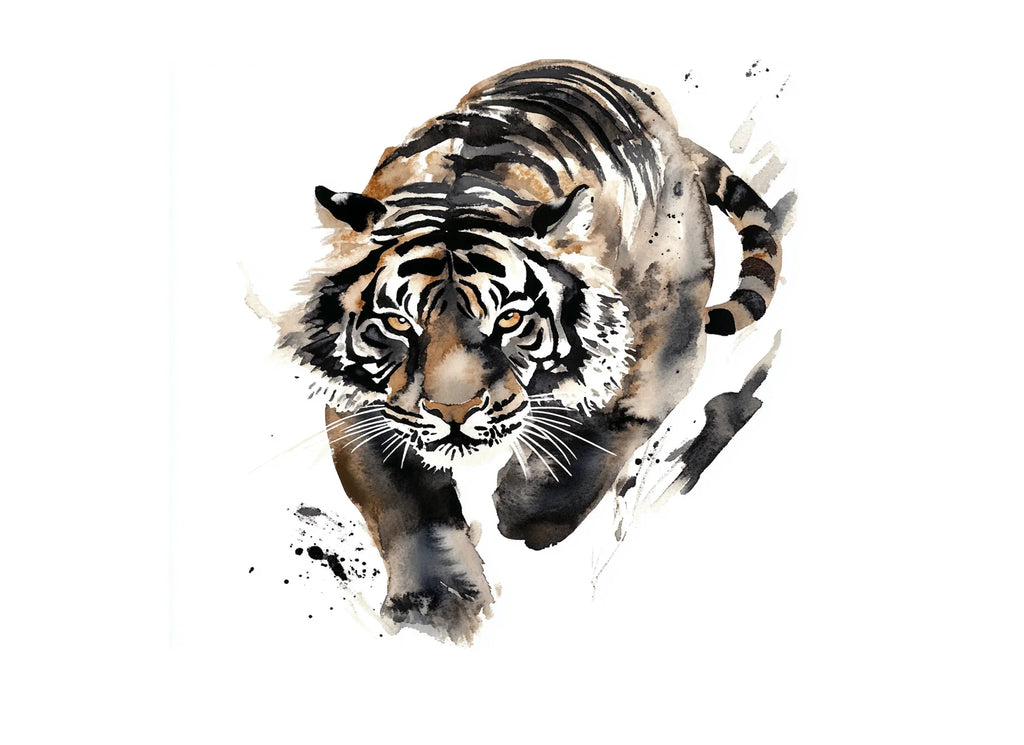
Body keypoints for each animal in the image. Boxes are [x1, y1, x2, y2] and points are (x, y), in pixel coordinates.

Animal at [277, 60, 783, 640]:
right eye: (399, 322)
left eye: (510, 319)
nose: (454, 411)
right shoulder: (363, 407)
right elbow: (408, 507)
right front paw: (436, 607)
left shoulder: (659, 347)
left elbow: (611, 428)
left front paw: (526, 514)